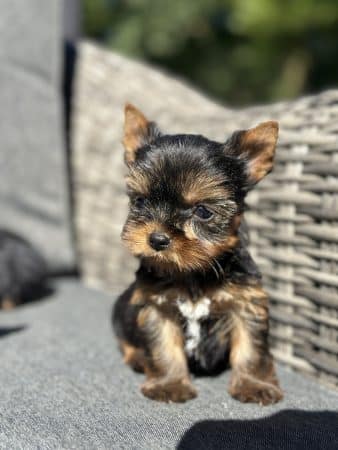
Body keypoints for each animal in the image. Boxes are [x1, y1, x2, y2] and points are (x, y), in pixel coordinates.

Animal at [113, 104, 282, 404]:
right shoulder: (157, 305)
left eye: (203, 211)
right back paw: (138, 358)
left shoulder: (246, 302)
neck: (191, 271)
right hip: (121, 311)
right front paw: (169, 385)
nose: (156, 239)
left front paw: (254, 385)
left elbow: (251, 348)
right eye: (140, 201)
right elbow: (164, 347)